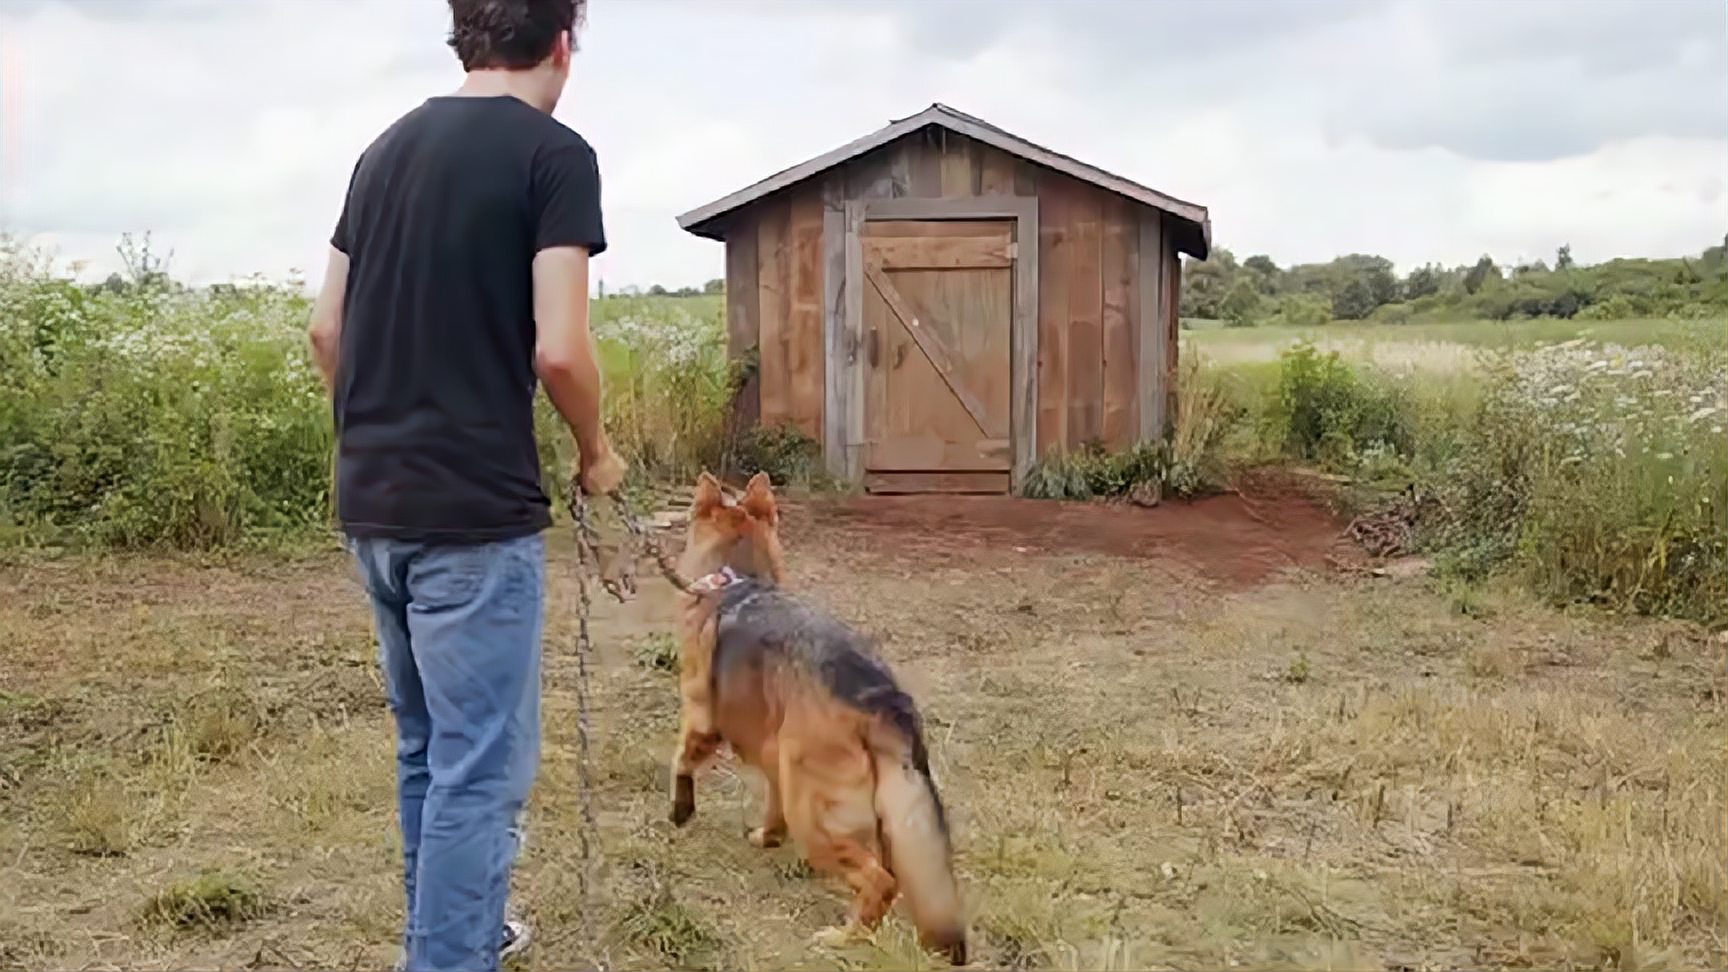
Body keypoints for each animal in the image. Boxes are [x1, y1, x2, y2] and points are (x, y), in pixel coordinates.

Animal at [663, 470, 967, 961]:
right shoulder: (774, 761)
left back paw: (846, 937)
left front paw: (681, 810)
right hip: (879, 817)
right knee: (894, 877)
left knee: (880, 881)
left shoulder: (701, 720)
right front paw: (767, 836)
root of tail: (882, 698)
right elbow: (771, 808)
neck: (738, 581)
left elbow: (681, 761)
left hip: (815, 814)